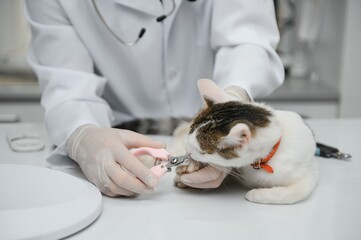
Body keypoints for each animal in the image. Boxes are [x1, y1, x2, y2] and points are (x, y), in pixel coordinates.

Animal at [170, 79, 316, 204]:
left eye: (201, 151)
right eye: (190, 131)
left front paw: (257, 194)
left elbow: (292, 193)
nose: (187, 152)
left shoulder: (309, 175)